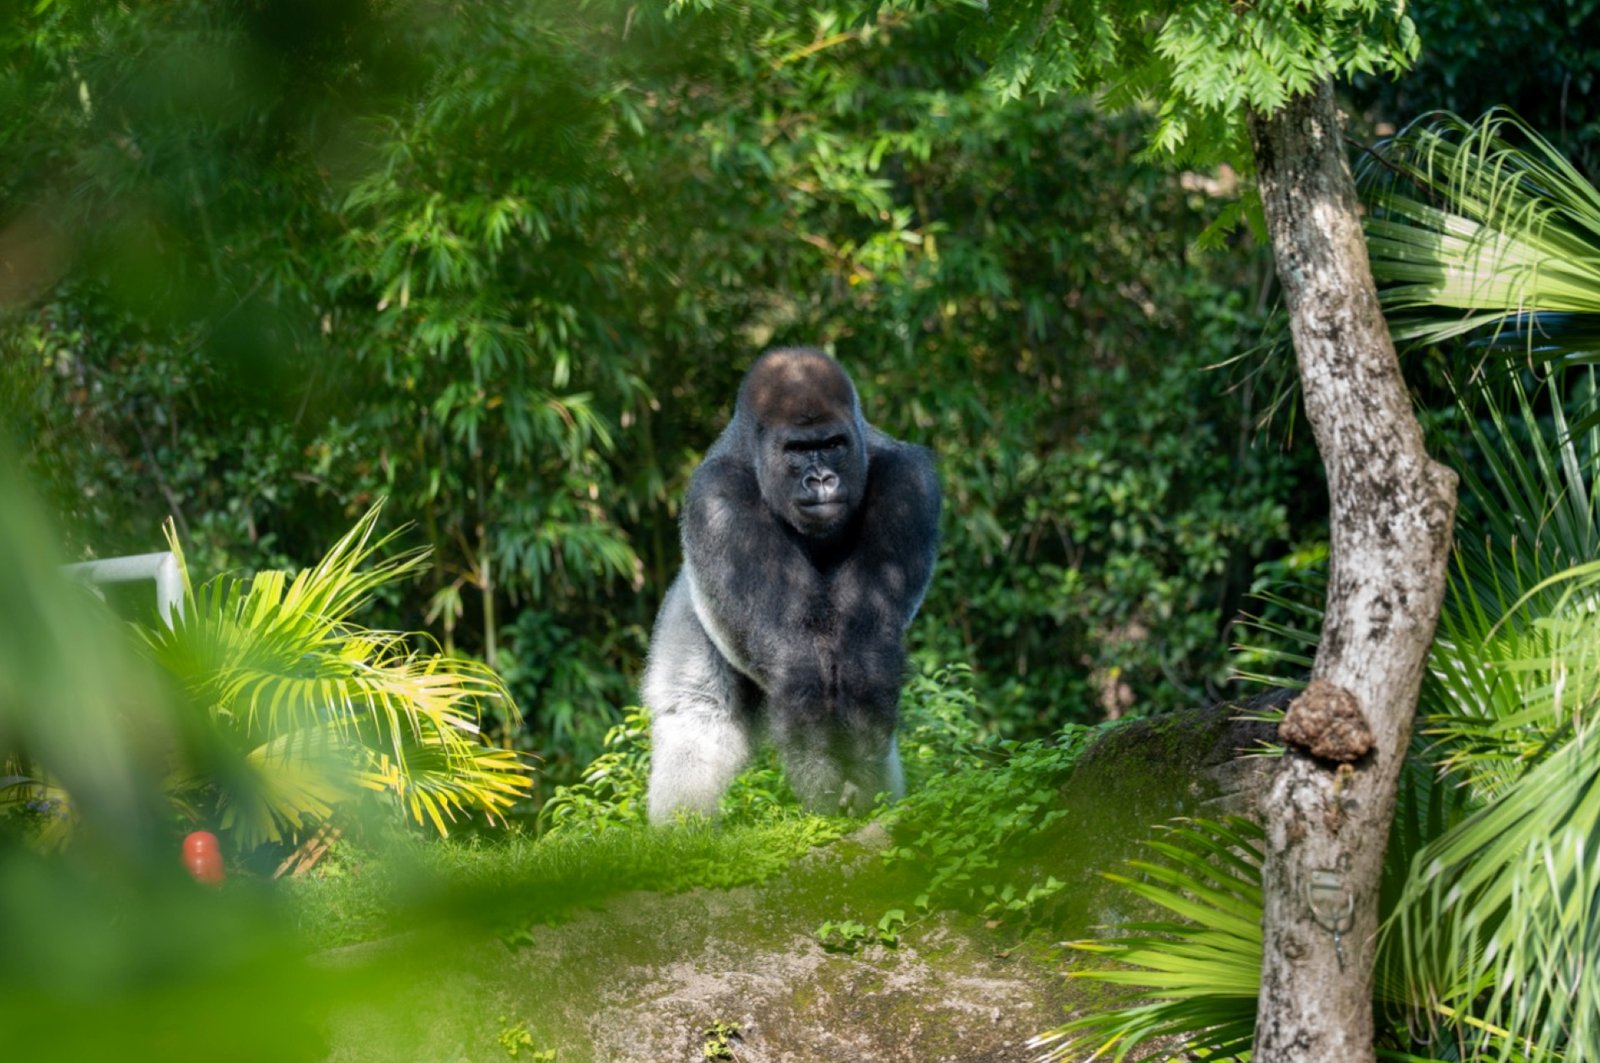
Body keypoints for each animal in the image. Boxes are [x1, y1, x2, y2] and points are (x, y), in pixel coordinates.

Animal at [642, 347, 940, 822]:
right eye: (797, 450)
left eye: (832, 445)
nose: (821, 480)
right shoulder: (718, 501)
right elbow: (792, 650)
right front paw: (823, 782)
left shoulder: (907, 484)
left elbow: (865, 642)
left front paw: (860, 782)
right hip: (689, 600)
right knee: (697, 713)